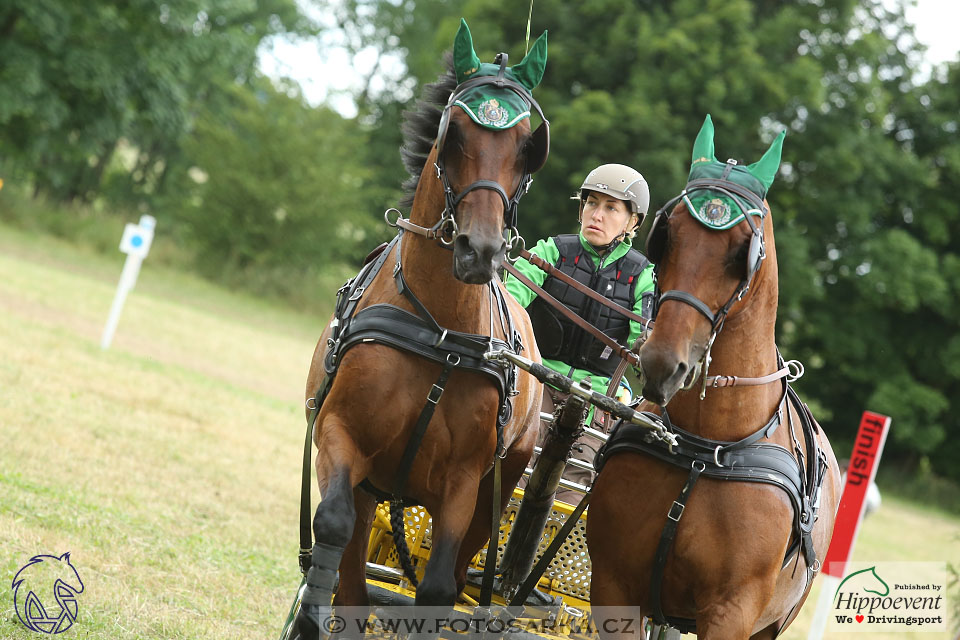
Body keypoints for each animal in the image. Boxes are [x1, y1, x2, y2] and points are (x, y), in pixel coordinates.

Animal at [288, 20, 548, 640]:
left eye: (527, 148)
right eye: (454, 134)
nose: (480, 251)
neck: (440, 335)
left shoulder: (463, 484)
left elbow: (437, 589)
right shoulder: (340, 437)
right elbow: (332, 531)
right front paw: (310, 617)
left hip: (495, 493)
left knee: (455, 574)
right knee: (352, 579)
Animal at [584, 116, 840, 640]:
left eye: (742, 251)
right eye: (668, 234)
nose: (663, 362)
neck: (706, 448)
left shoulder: (730, 612)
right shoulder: (614, 587)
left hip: (771, 623)